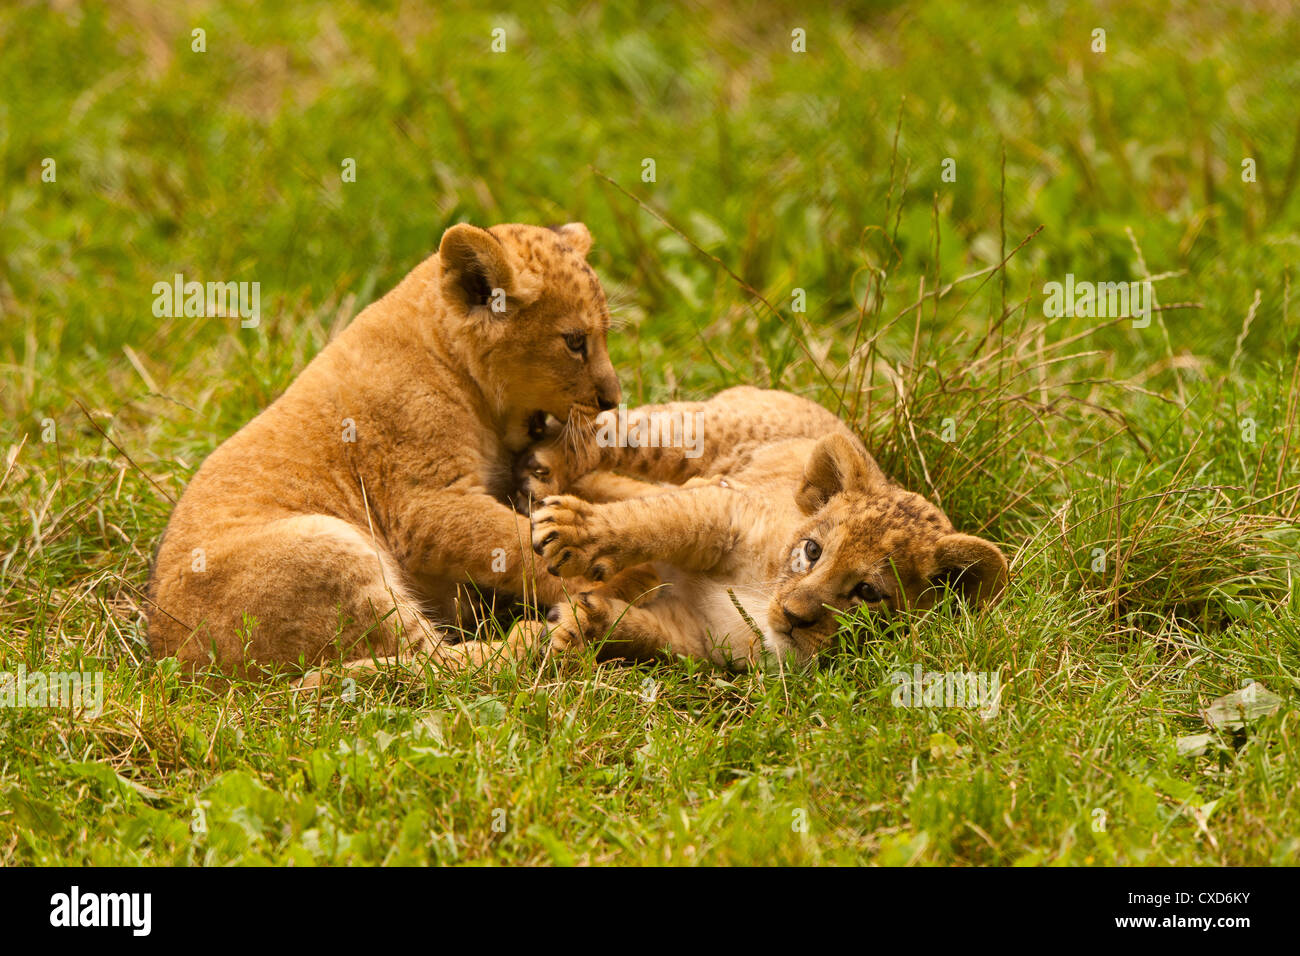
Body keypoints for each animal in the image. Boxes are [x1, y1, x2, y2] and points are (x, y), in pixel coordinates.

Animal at [147, 222, 619, 675]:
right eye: (575, 341)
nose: (613, 400)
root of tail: (172, 659)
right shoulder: (424, 507)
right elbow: (521, 544)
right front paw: (599, 580)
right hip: (328, 547)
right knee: (427, 665)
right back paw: (534, 638)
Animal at [519, 387, 1009, 667]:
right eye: (813, 551)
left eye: (868, 593)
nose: (793, 616)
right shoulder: (727, 511)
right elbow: (655, 522)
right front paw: (570, 530)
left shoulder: (695, 632)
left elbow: (640, 631)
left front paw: (578, 626)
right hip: (689, 435)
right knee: (602, 429)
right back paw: (544, 469)